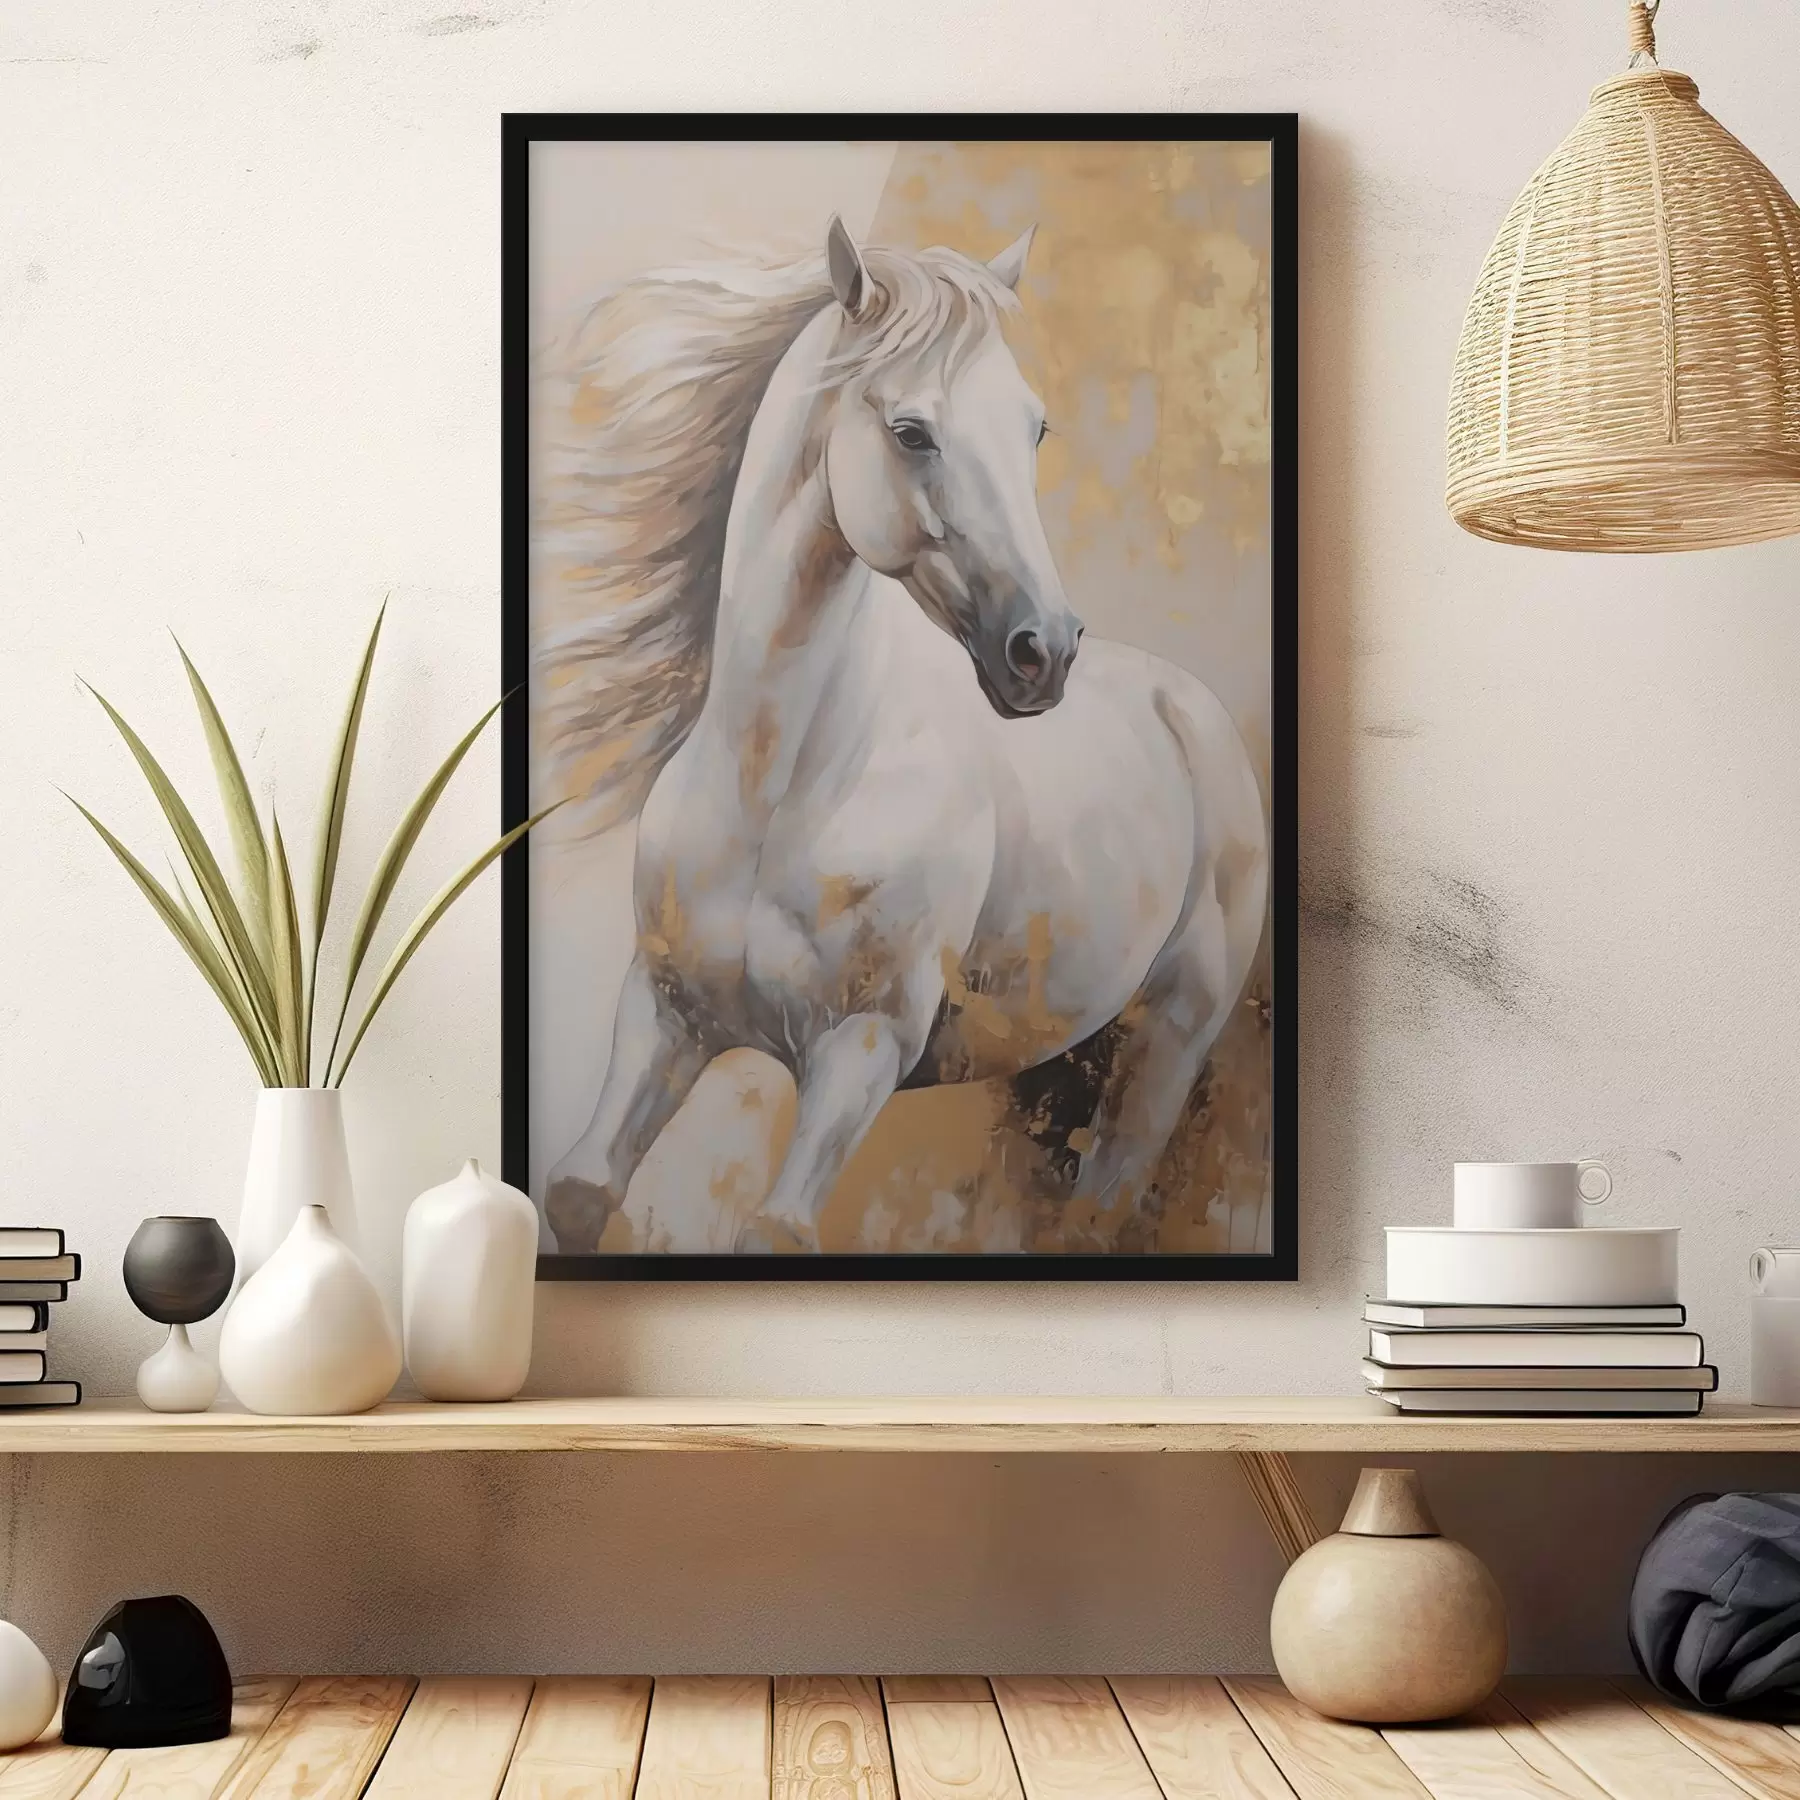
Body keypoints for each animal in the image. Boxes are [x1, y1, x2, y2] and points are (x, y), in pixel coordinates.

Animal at [538, 214, 1269, 1254]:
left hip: (1166, 1047)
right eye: (911, 432)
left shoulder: (863, 1048)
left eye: (1034, 428)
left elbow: (777, 1231)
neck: (784, 787)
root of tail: (1190, 710)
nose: (1044, 651)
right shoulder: (663, 1011)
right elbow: (579, 1190)